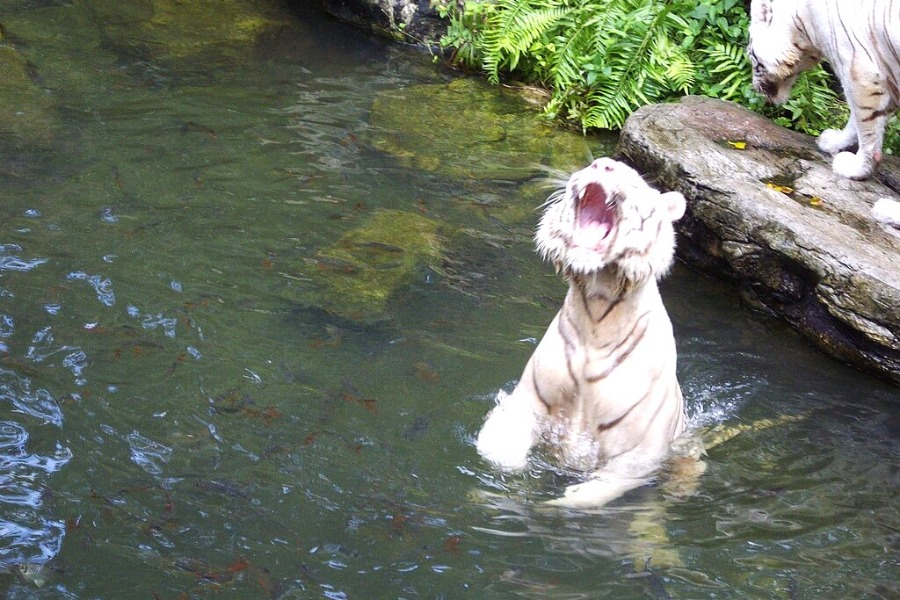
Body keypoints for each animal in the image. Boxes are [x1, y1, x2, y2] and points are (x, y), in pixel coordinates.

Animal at [474, 157, 684, 508]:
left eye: (635, 179)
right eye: (592, 165)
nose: (603, 163)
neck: (596, 317)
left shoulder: (638, 453)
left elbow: (594, 492)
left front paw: (556, 504)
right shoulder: (527, 401)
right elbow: (501, 439)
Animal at [748, 0, 900, 227]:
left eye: (751, 55)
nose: (754, 87)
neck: (802, 26)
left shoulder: (860, 74)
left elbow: (866, 127)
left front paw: (855, 168)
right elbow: (857, 121)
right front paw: (833, 142)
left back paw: (885, 210)